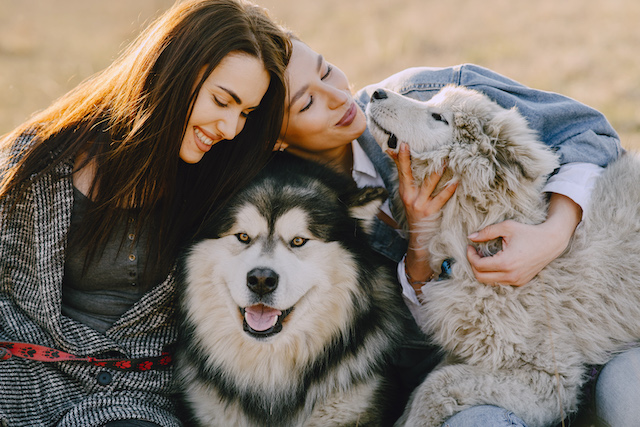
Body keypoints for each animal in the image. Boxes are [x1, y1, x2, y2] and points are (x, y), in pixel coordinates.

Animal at [368, 84, 640, 427]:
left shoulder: (549, 376)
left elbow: (436, 385)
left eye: (438, 117)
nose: (376, 93)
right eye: (432, 101)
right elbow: (425, 384)